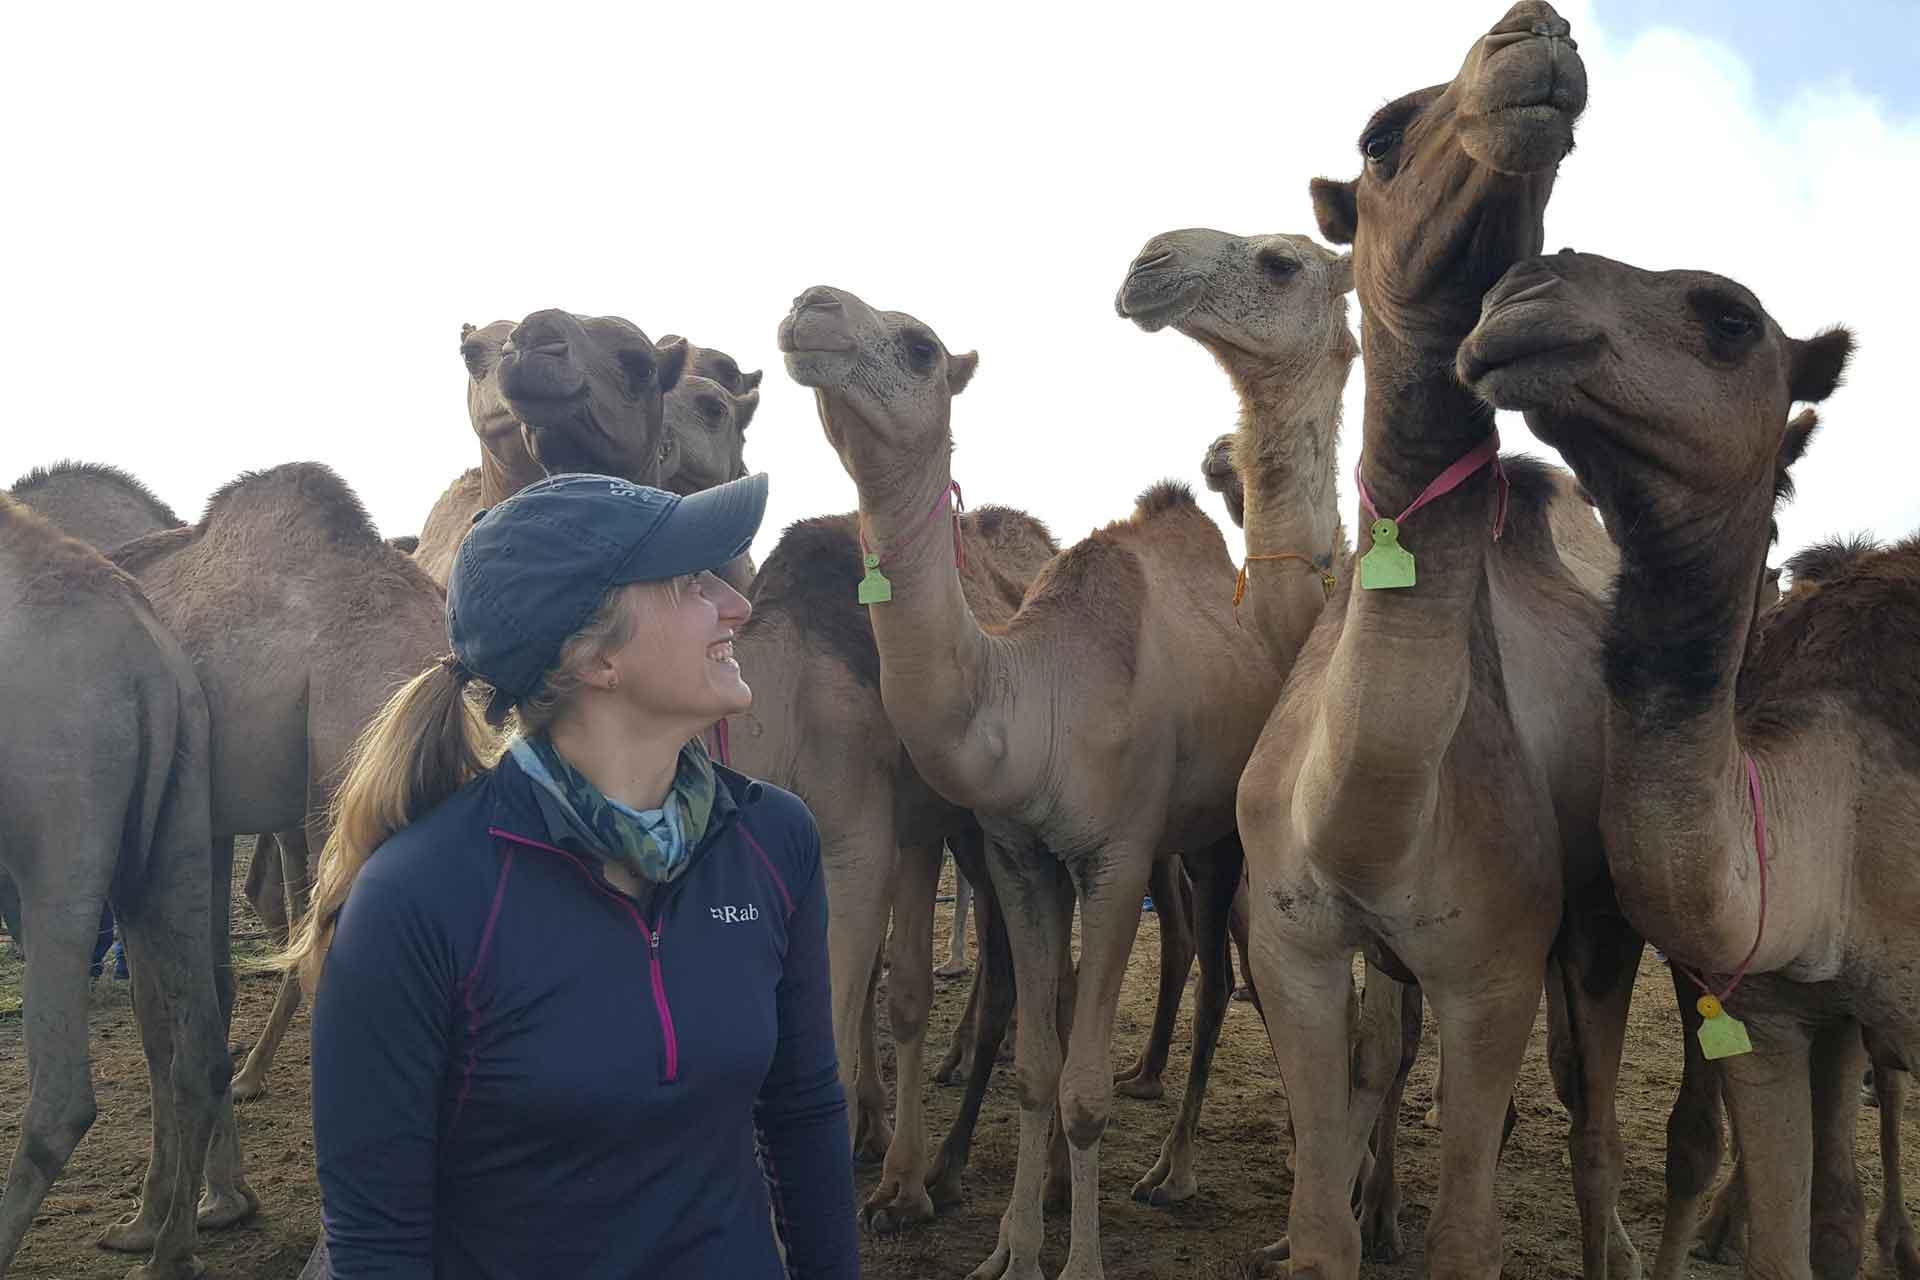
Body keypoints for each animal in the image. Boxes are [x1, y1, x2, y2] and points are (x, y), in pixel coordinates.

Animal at [0, 493, 229, 1280]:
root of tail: (147, 664)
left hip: (59, 813)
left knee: (64, 1091)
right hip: (183, 805)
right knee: (198, 1042)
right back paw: (164, 1249)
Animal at [779, 280, 1342, 1280]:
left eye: (920, 348)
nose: (814, 303)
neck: (1035, 692)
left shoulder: (1113, 858)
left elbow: (1083, 1091)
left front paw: (1075, 1261)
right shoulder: (1018, 855)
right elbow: (1039, 1069)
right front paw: (1008, 1250)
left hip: (1222, 832)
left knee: (1216, 979)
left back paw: (1177, 1172)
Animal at [1235, 7, 1655, 1277]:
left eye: (1562, 170)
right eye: (1377, 138)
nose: (1535, 35)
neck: (1372, 808)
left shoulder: (1496, 967)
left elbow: (1472, 1230)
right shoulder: (1296, 946)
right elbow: (1320, 1217)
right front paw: (1347, 1224)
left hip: (1603, 919)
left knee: (1589, 1114)